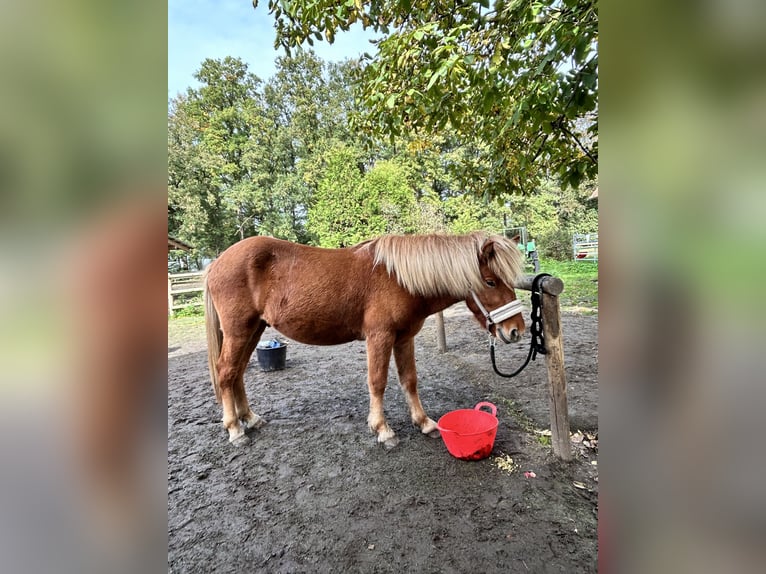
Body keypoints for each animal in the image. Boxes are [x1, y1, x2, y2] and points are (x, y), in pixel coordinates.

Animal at [204, 232, 528, 448]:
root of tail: (216, 264)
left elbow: (409, 379)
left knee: (237, 374)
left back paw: (250, 418)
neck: (398, 278)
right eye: (490, 282)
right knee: (226, 372)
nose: (516, 330)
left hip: (254, 330)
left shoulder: (404, 338)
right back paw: (235, 429)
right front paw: (382, 429)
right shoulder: (379, 336)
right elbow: (377, 381)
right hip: (239, 331)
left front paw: (424, 423)